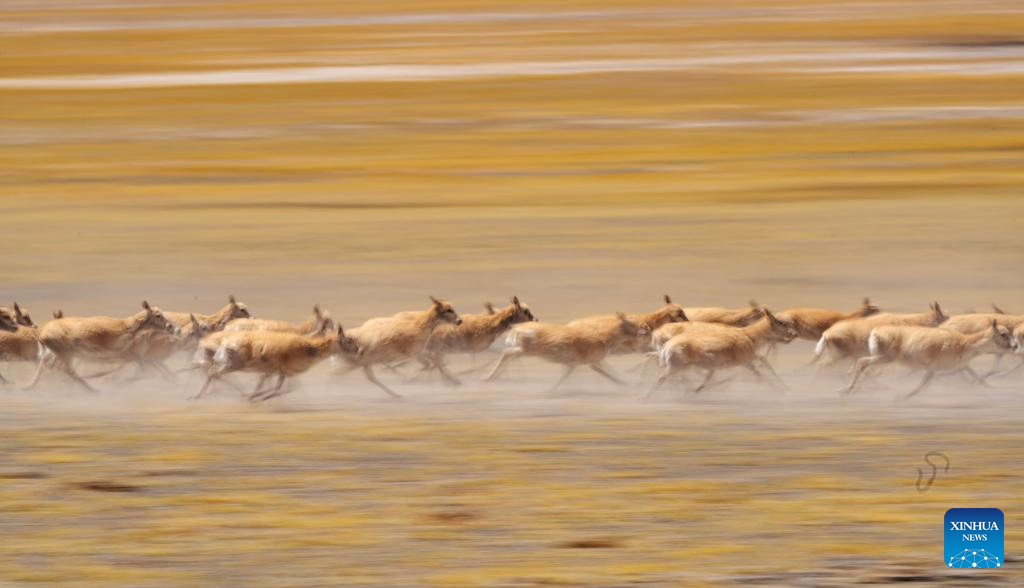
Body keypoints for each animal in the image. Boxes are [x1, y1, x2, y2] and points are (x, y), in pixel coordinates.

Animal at [481, 313, 647, 391]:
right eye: (631, 323)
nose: (644, 330)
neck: (602, 336)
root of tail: (516, 327)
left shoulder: (575, 364)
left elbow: (564, 377)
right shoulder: (592, 363)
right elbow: (609, 373)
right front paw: (626, 384)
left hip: (521, 351)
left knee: (507, 356)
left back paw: (494, 377)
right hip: (524, 350)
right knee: (506, 354)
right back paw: (488, 377)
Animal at [839, 319, 1015, 399]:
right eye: (1003, 334)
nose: (1014, 346)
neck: (964, 343)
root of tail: (875, 331)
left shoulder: (959, 367)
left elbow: (977, 377)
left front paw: (993, 389)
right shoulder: (933, 369)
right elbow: (923, 385)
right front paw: (903, 396)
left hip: (880, 358)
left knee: (864, 366)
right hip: (883, 358)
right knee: (862, 363)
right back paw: (847, 389)